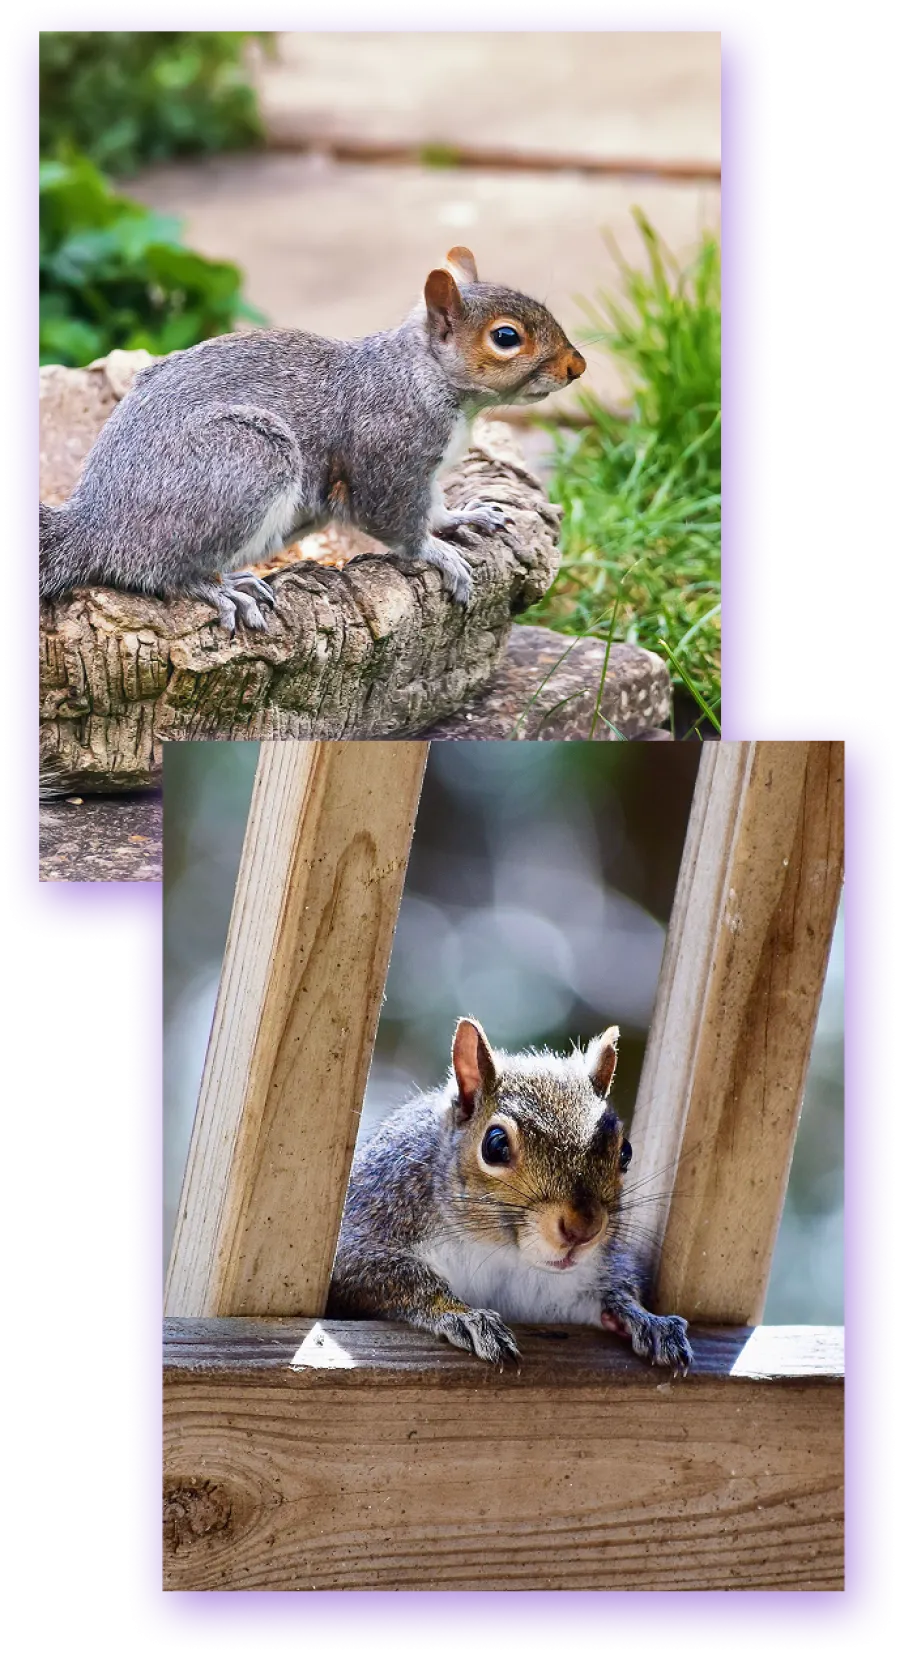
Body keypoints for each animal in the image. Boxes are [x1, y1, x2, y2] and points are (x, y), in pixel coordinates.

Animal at [38, 248, 585, 631]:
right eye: (506, 337)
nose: (576, 366)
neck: (422, 374)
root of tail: (99, 524)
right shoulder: (386, 453)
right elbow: (393, 520)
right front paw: (437, 554)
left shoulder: (424, 475)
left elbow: (434, 507)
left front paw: (464, 516)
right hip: (246, 457)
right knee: (158, 572)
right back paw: (218, 589)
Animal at [327, 1017, 693, 1374]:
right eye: (496, 1145)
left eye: (625, 1153)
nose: (583, 1230)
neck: (503, 1253)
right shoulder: (376, 1215)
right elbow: (381, 1273)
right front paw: (463, 1314)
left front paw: (643, 1317)